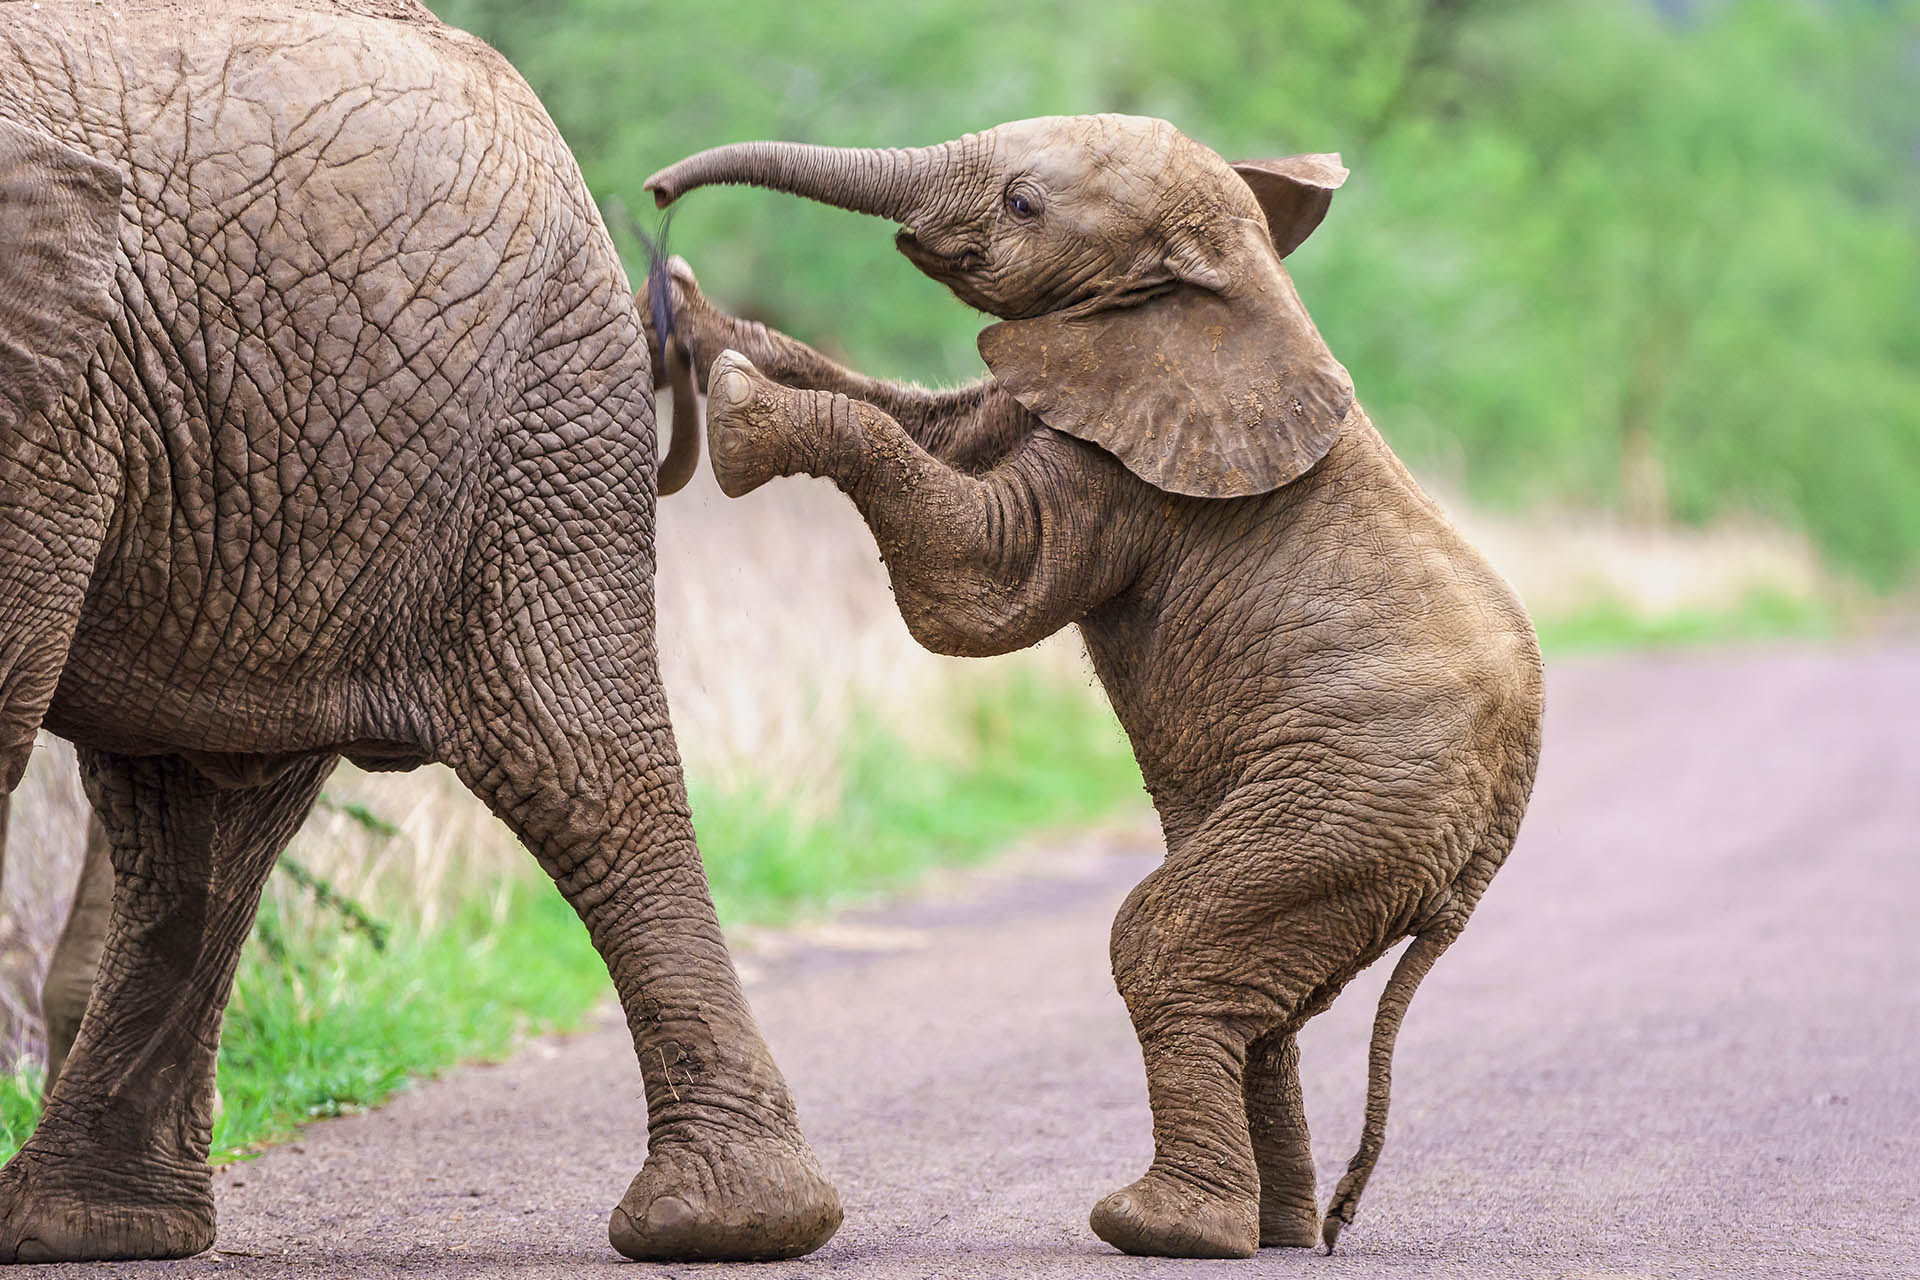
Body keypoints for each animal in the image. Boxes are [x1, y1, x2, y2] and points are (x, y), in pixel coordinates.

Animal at [1, 0, 840, 1258]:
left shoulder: (48, 399)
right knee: (194, 813)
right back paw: (84, 1228)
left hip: (533, 427)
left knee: (585, 767)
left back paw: (724, 1223)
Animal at [645, 115, 1543, 1258]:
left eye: (1024, 203)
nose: (658, 192)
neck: (1225, 276)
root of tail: (1501, 821)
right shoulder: (1084, 383)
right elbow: (935, 421)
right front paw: (687, 307)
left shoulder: (1132, 470)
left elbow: (980, 589)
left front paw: (737, 404)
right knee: (1261, 1005)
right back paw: (1278, 1230)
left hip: (1364, 798)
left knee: (1168, 943)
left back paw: (1164, 1227)